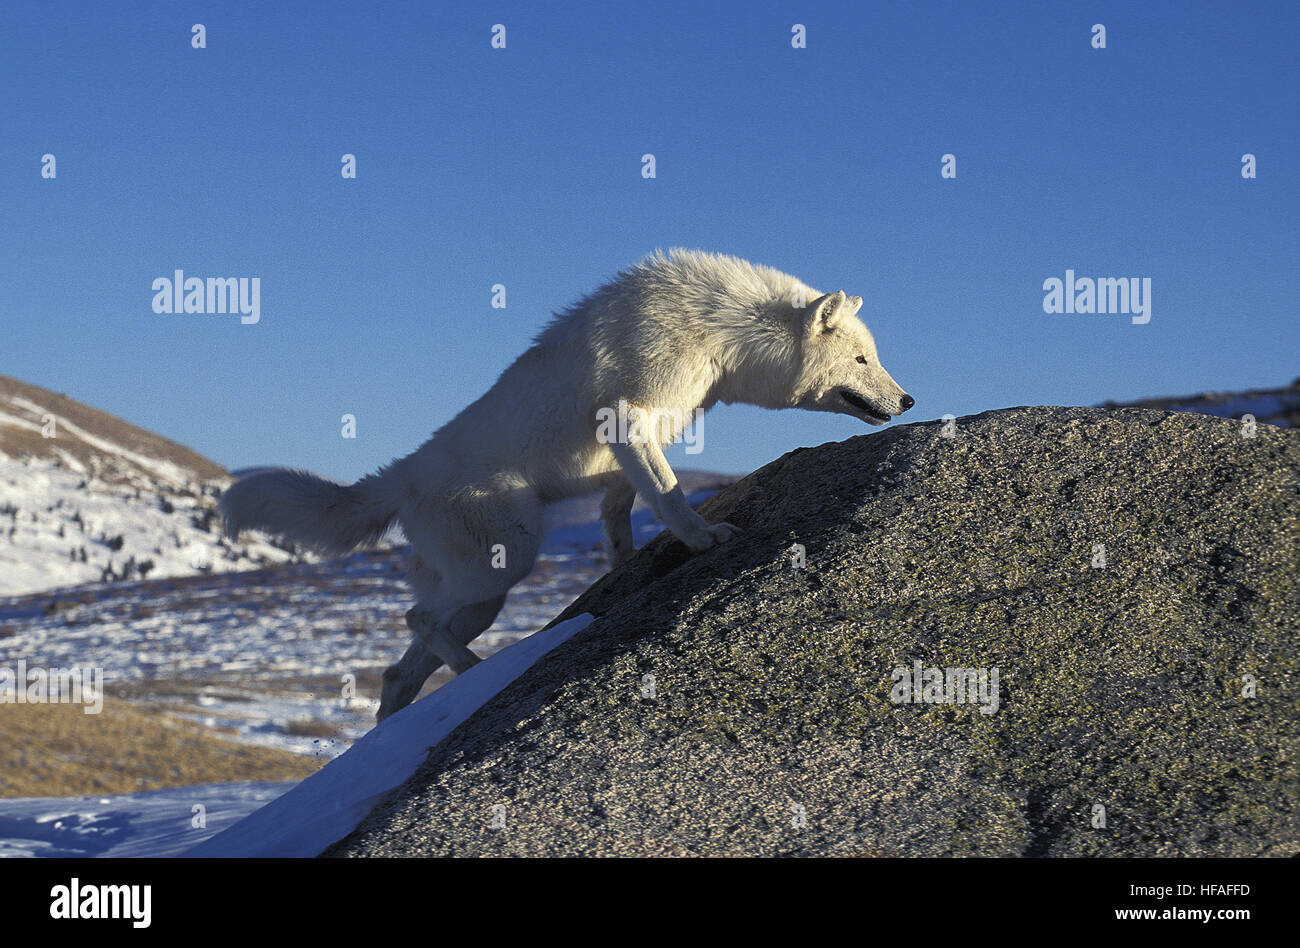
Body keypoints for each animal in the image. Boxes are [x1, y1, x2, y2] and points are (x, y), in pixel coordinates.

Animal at [220, 249, 915, 717]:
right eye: (861, 359)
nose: (909, 400)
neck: (720, 331)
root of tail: (401, 472)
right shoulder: (630, 420)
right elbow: (667, 495)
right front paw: (703, 538)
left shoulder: (640, 442)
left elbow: (624, 507)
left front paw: (626, 561)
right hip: (507, 564)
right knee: (417, 618)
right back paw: (478, 672)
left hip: (486, 597)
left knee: (398, 670)